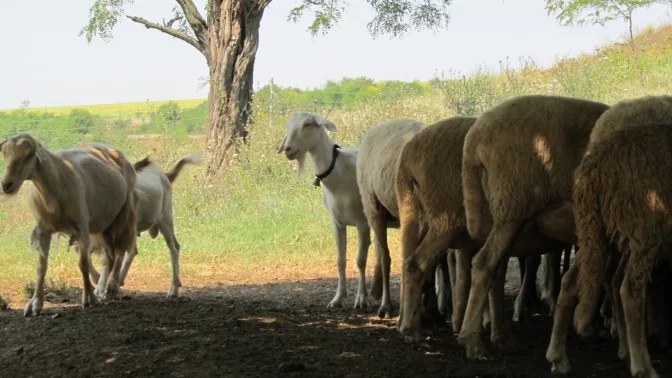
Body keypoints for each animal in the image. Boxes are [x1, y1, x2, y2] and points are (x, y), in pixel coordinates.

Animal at [0, 133, 137, 316]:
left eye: (29, 155)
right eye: (5, 154)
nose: (6, 185)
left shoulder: (82, 226)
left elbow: (83, 263)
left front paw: (88, 298)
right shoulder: (44, 229)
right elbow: (41, 266)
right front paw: (35, 304)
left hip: (122, 215)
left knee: (120, 250)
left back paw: (111, 286)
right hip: (102, 223)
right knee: (109, 255)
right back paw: (102, 289)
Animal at [85, 154, 200, 298]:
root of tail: (165, 175)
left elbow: (110, 257)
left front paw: (105, 287)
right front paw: (100, 285)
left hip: (165, 219)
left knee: (173, 248)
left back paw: (173, 289)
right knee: (133, 251)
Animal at [276, 111, 372, 308]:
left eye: (308, 124)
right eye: (288, 125)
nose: (288, 149)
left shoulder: (362, 222)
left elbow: (360, 260)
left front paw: (361, 299)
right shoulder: (337, 222)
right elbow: (340, 260)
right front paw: (338, 298)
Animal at [544, 95, 672, 376]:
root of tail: (593, 167)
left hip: (598, 231)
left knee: (574, 280)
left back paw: (559, 356)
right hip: (645, 228)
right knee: (630, 290)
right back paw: (642, 366)